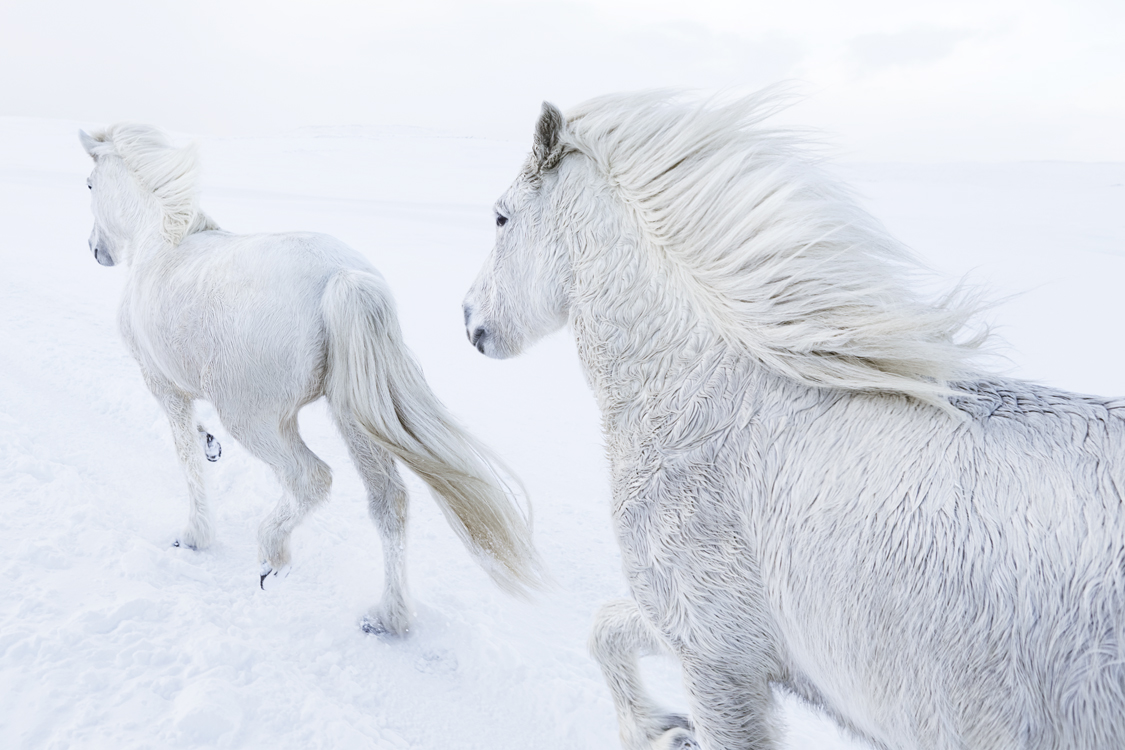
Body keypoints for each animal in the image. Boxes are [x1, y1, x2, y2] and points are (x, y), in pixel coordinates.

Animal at [79, 123, 542, 635]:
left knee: (310, 478)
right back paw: (388, 618)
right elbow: (198, 447)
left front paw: (194, 536)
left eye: (89, 184)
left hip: (257, 419)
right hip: (355, 417)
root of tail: (342, 278)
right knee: (389, 503)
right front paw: (209, 443)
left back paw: (272, 555)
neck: (160, 242)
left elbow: (186, 459)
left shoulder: (163, 386)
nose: (95, 251)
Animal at [462, 92, 1125, 749]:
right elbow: (606, 628)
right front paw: (657, 728)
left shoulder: (717, 657)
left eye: (500, 218)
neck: (701, 408)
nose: (470, 320)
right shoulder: (717, 641)